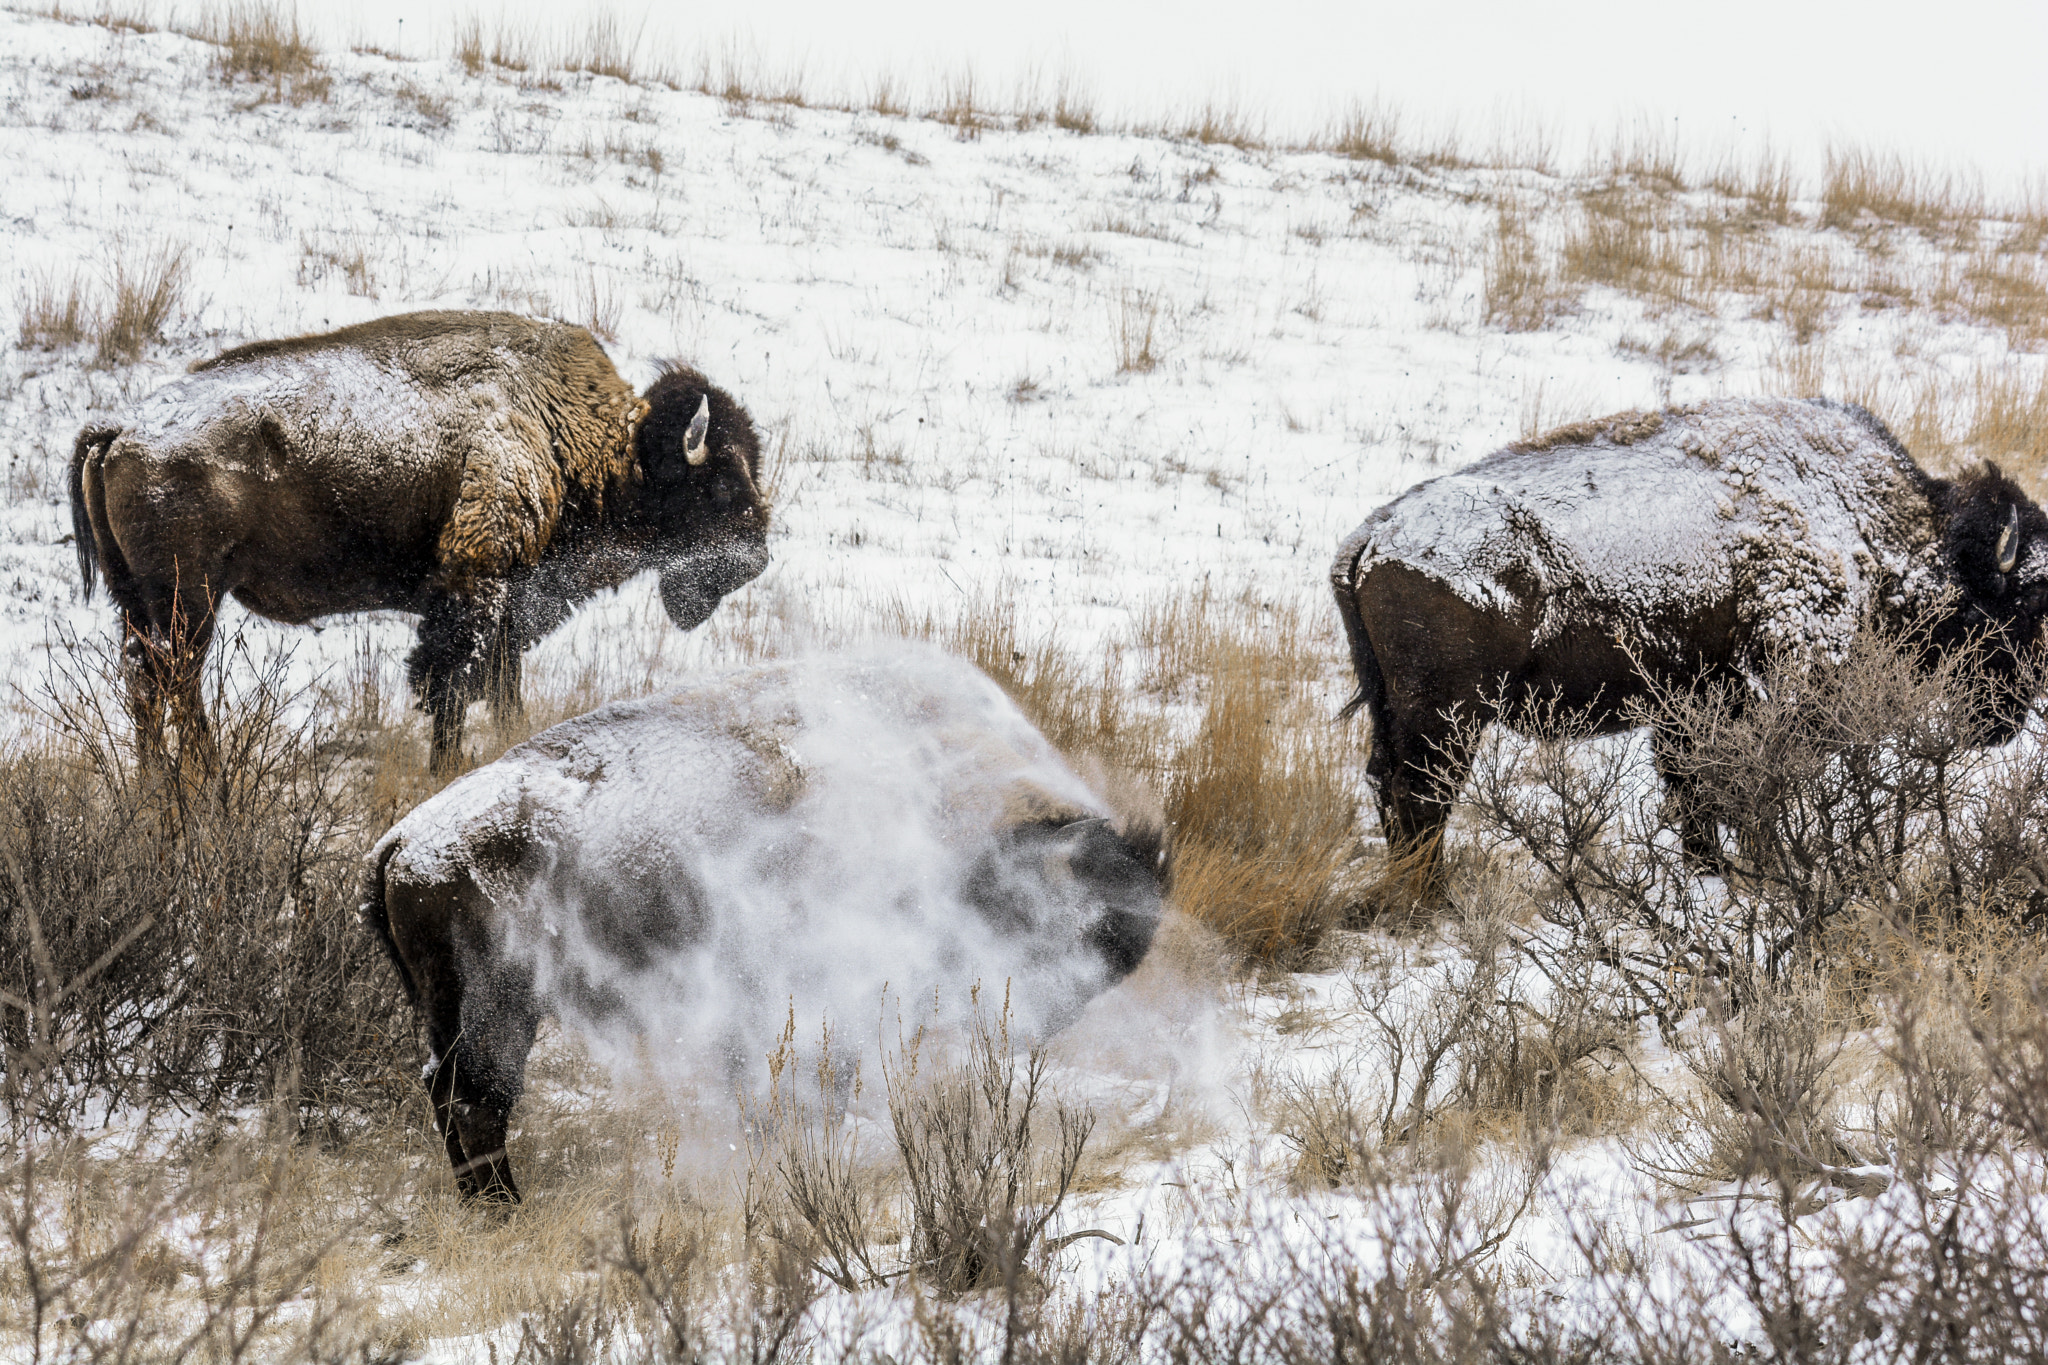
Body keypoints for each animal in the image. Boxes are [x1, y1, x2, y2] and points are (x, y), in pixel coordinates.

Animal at [68, 313, 770, 773]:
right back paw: (208, 782)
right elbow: (451, 684)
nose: (757, 558)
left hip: (137, 602)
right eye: (718, 482)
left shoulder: (508, 601)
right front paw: (447, 766)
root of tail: (120, 429)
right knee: (177, 683)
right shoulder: (475, 586)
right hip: (190, 600)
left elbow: (501, 685)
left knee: (142, 683)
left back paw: (155, 789)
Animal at [364, 646, 1171, 1203]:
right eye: (1044, 920)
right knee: (475, 1098)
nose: (1038, 1017)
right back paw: (506, 1207)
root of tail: (403, 839)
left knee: (450, 1093)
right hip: (498, 1008)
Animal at [1327, 401, 2048, 879]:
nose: (2003, 724)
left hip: (1399, 709)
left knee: (1391, 789)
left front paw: (1712, 875)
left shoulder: (1690, 704)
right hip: (1448, 714)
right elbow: (1744, 793)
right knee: (1421, 796)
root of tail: (1373, 533)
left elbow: (1694, 796)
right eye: (2031, 605)